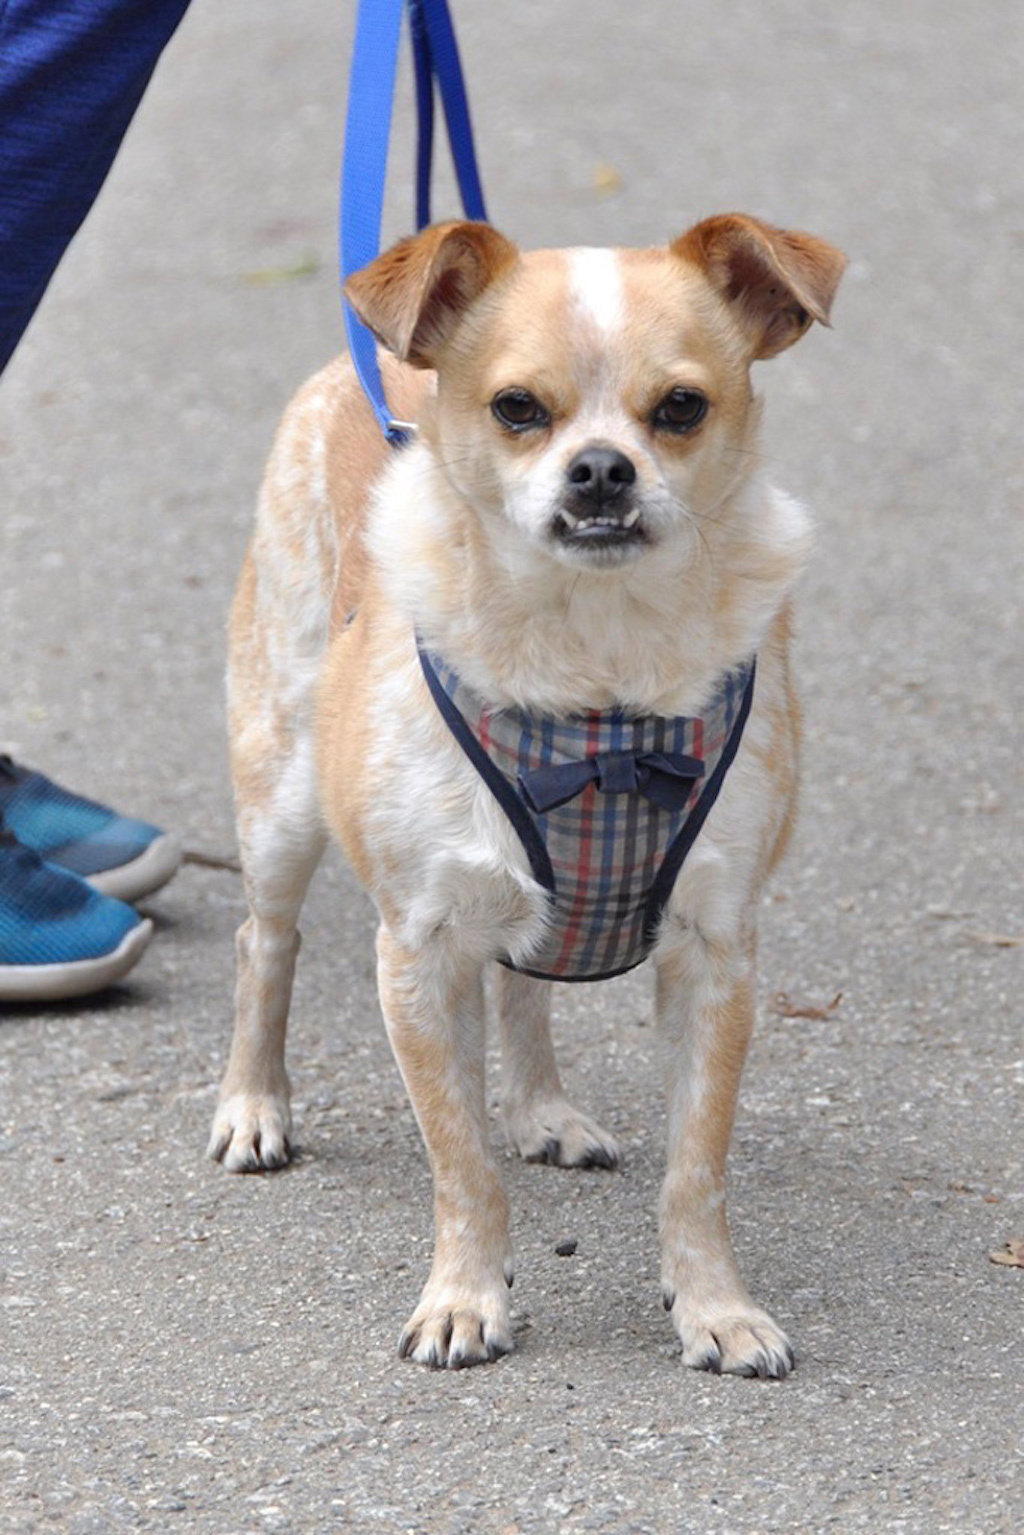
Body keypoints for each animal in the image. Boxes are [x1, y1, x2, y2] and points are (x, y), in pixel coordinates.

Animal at [210, 216, 847, 1381]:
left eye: (679, 407)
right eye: (518, 408)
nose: (600, 468)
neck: (594, 676)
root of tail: (361, 369)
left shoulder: (717, 955)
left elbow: (697, 1168)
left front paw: (715, 1306)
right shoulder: (418, 953)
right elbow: (461, 1164)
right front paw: (464, 1296)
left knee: (525, 980)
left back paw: (542, 1107)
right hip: (278, 794)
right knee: (264, 941)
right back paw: (253, 1103)